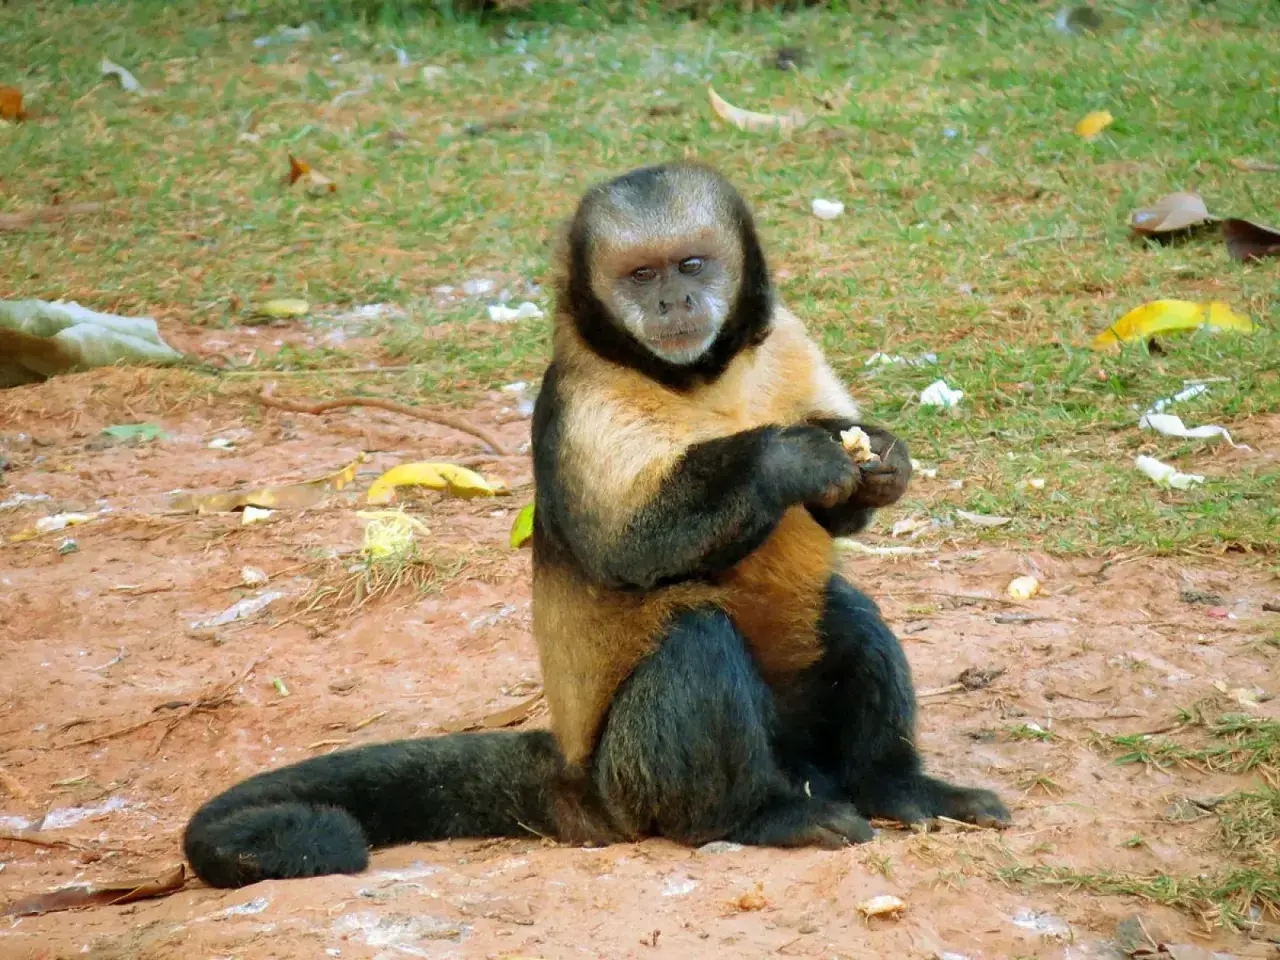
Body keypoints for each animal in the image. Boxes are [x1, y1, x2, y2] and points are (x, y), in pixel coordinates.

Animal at [182, 162, 1010, 889]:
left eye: (690, 265)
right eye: (641, 277)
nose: (675, 303)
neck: (697, 376)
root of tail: (580, 779)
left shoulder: (786, 336)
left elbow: (843, 507)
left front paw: (882, 462)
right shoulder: (580, 393)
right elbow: (626, 547)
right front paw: (786, 460)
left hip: (796, 746)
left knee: (846, 612)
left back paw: (891, 787)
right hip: (632, 779)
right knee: (695, 640)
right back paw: (753, 817)